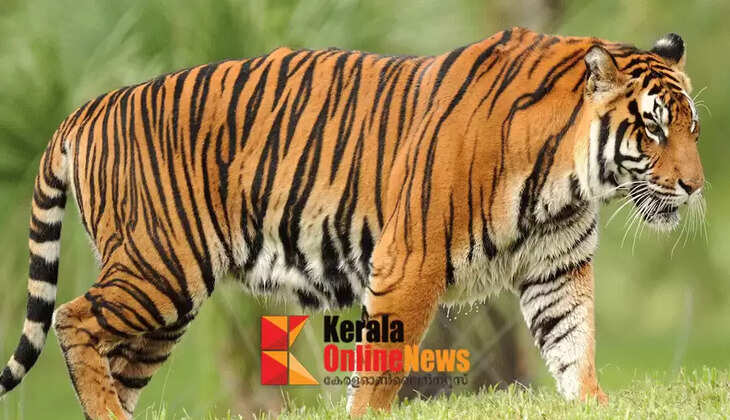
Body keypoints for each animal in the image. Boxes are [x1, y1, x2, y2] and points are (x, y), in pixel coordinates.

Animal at [0, 27, 704, 418]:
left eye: (693, 128)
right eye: (652, 127)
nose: (696, 187)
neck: (567, 179)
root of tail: (88, 108)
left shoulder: (558, 268)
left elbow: (573, 347)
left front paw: (594, 406)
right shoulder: (410, 263)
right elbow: (380, 372)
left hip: (164, 304)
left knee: (111, 360)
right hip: (160, 268)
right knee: (72, 318)